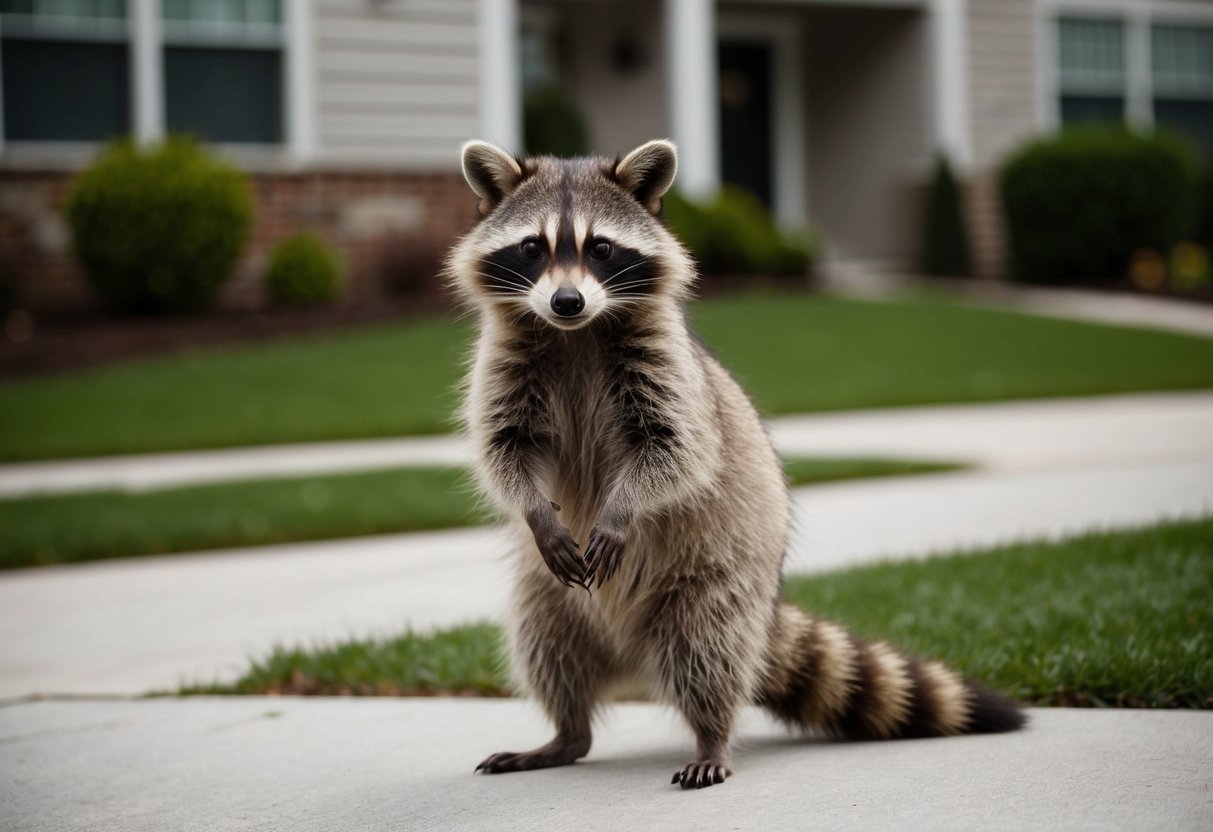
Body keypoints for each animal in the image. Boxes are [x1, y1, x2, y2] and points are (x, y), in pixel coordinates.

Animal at [447, 139, 1024, 790]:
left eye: (600, 248)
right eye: (531, 248)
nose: (566, 301)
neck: (576, 331)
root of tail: (627, 654)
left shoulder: (669, 374)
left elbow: (678, 450)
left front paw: (621, 509)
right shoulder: (505, 364)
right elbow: (504, 450)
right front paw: (535, 511)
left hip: (717, 580)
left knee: (707, 653)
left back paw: (710, 735)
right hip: (549, 596)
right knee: (548, 649)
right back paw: (566, 734)